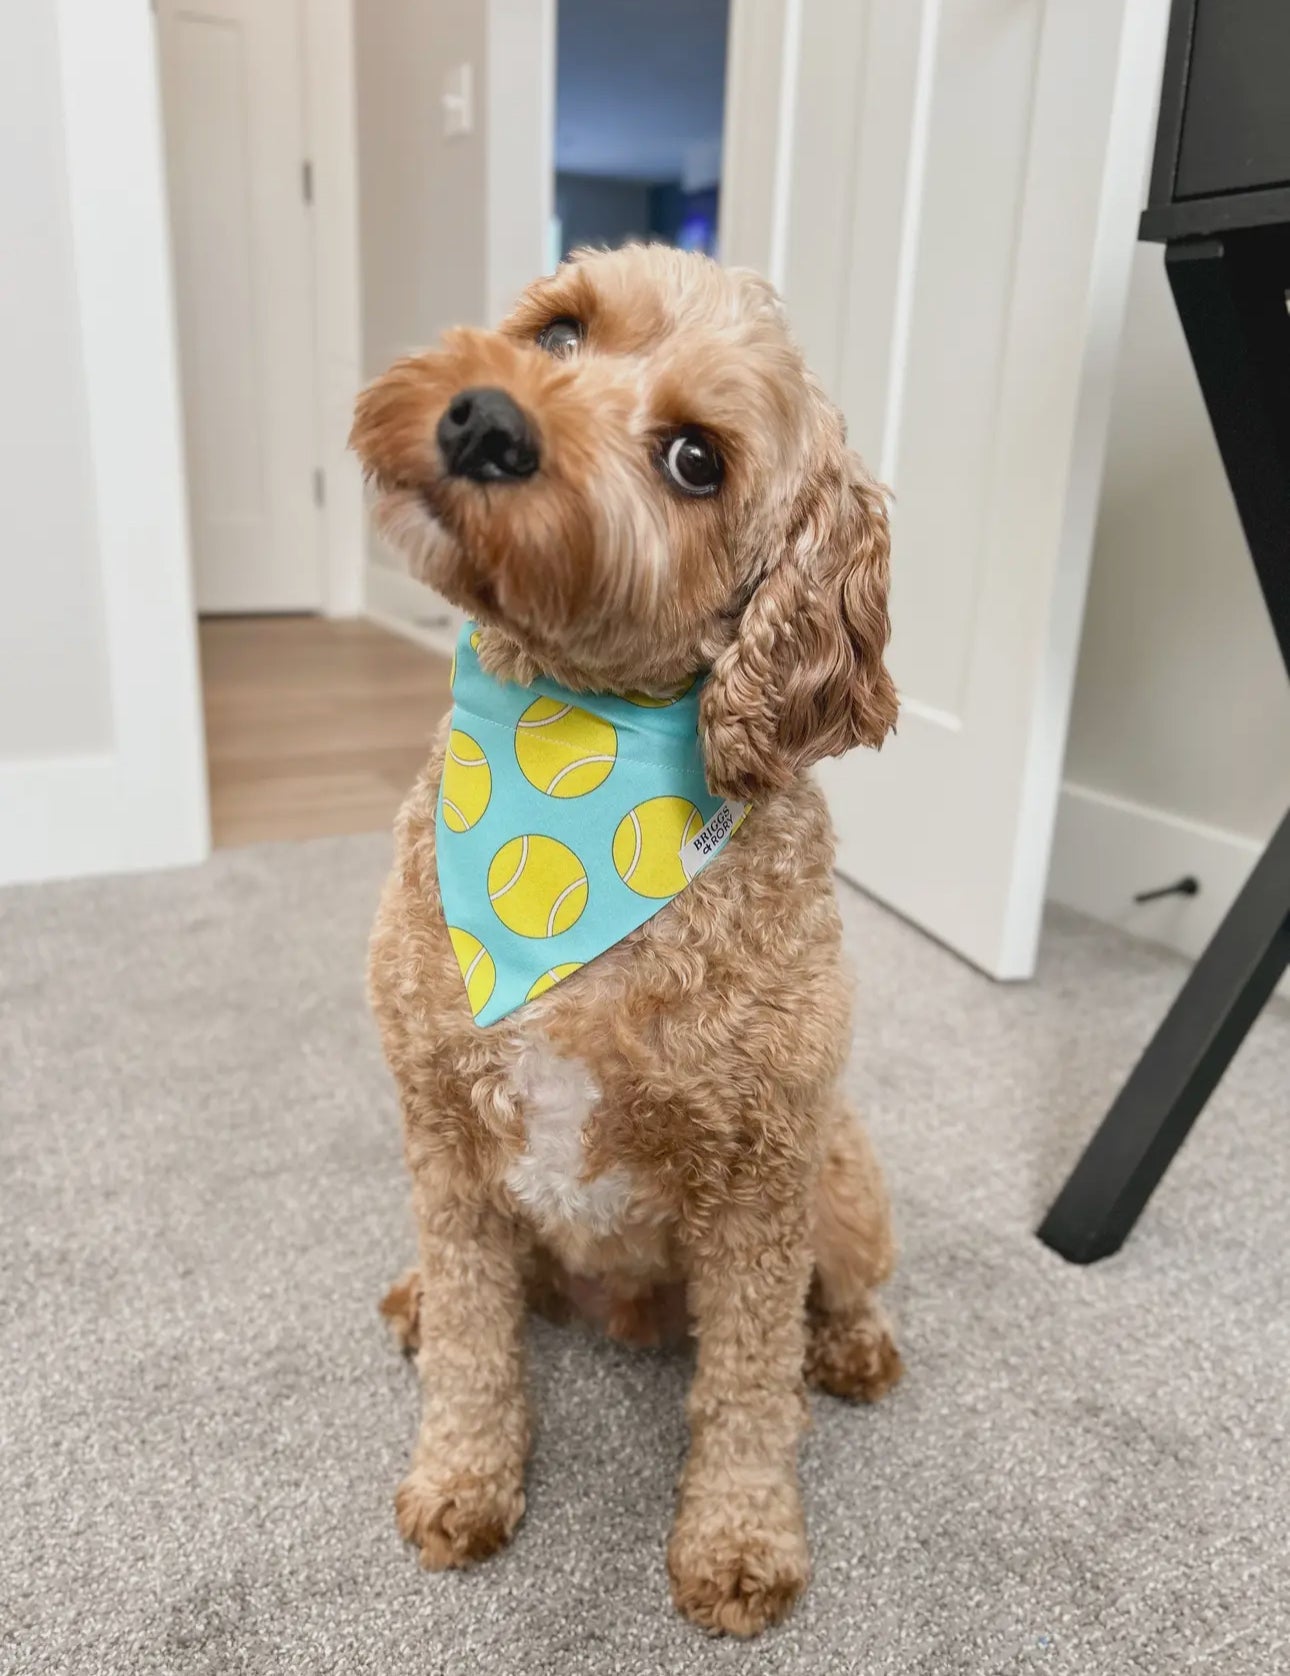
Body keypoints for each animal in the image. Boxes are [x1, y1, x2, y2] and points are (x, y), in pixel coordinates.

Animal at [346, 244, 897, 1635]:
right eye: (560, 330)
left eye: (697, 458)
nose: (486, 422)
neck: (568, 743)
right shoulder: (440, 1122)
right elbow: (478, 1344)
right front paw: (461, 1478)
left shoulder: (761, 1177)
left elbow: (749, 1389)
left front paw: (741, 1545)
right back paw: (418, 1297)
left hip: (841, 1173)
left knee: (843, 1290)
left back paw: (854, 1345)